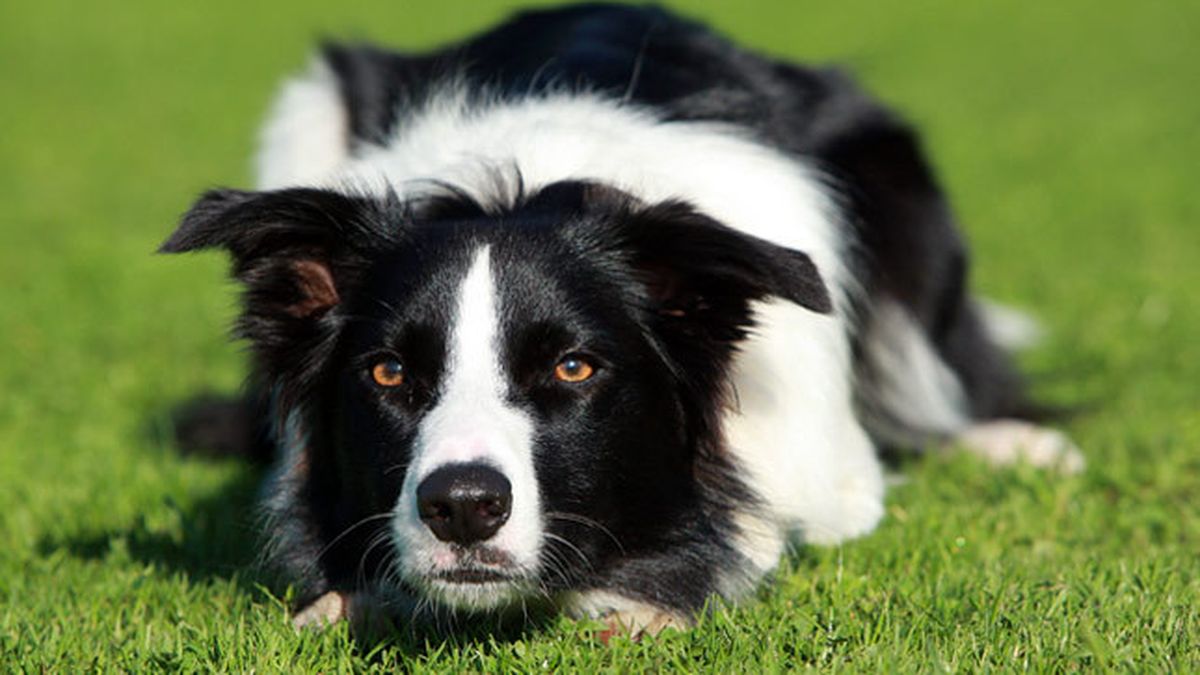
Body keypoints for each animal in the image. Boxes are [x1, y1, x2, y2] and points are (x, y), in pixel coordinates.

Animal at [162, 3, 1080, 634]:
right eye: (388, 372)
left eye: (573, 366)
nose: (463, 507)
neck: (528, 184)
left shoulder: (830, 478)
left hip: (901, 181)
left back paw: (1012, 441)